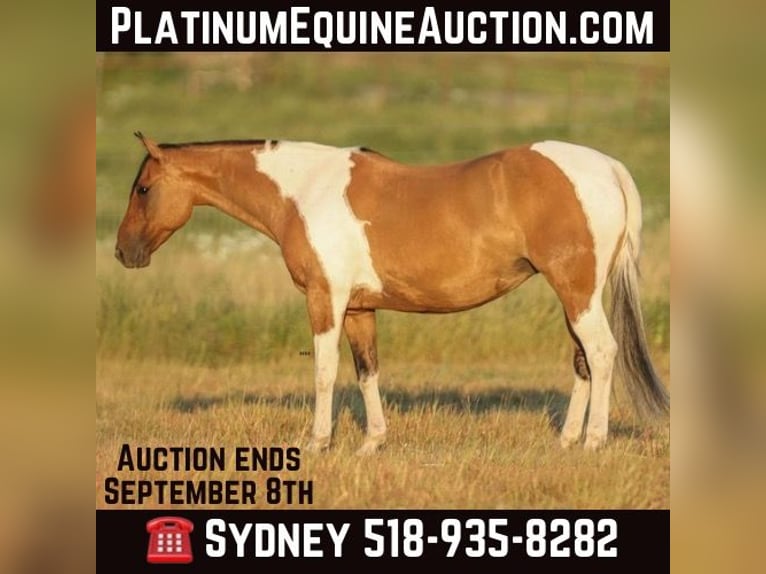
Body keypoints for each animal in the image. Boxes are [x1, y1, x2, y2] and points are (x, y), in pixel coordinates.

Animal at [115, 133, 669, 453]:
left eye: (143, 189)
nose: (124, 252)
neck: (304, 191)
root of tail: (607, 167)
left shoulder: (325, 299)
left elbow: (324, 372)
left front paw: (317, 443)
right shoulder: (360, 308)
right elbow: (367, 372)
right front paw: (371, 444)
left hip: (577, 292)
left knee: (601, 353)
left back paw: (593, 442)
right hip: (575, 296)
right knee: (584, 361)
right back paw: (567, 440)